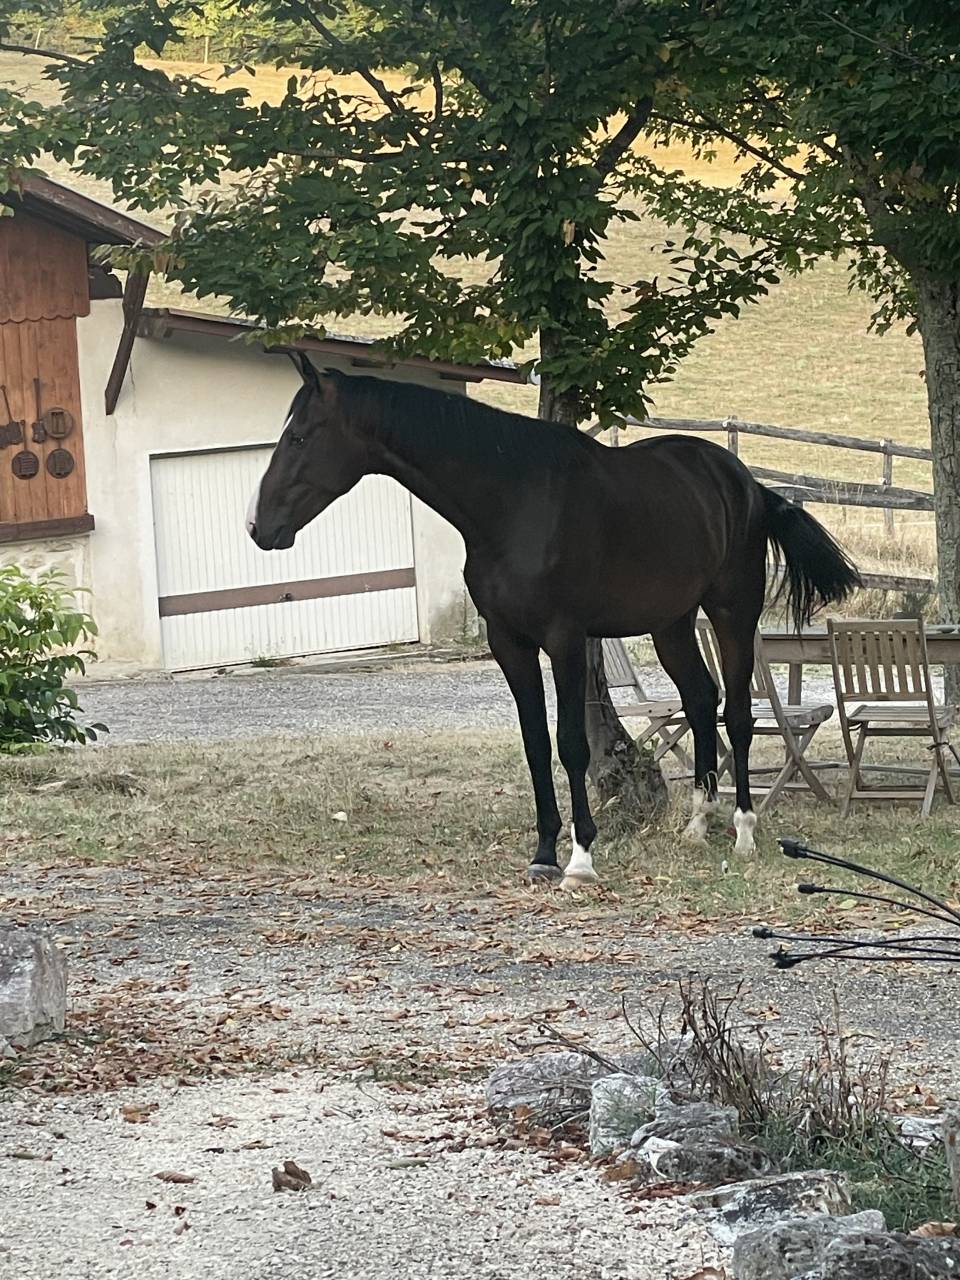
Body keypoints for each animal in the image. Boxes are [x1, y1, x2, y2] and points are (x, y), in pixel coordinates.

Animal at [247, 354, 860, 887]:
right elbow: (536, 744)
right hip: (671, 622)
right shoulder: (510, 643)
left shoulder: (565, 640)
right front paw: (543, 853)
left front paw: (581, 859)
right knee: (700, 698)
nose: (258, 526)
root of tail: (746, 482)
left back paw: (743, 831)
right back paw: (697, 824)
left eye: (299, 437)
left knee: (736, 714)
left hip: (732, 612)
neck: (514, 503)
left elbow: (571, 744)